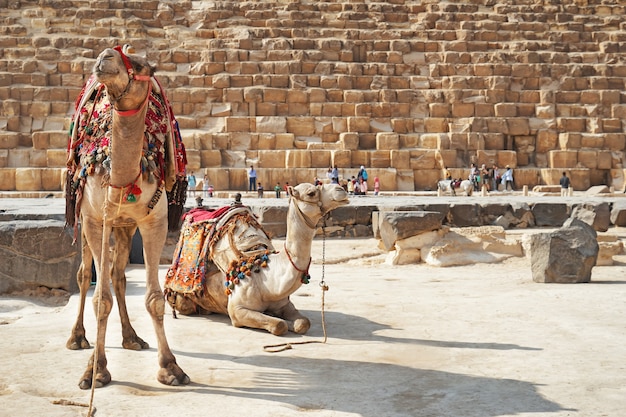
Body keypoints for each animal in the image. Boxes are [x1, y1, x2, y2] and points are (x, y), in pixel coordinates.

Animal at [66, 47, 189, 388]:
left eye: (141, 65)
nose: (105, 57)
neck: (122, 179)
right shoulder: (95, 220)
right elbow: (100, 299)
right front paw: (94, 371)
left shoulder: (153, 222)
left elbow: (154, 299)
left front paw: (170, 367)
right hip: (83, 217)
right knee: (84, 275)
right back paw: (77, 337)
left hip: (125, 225)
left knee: (119, 275)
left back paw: (132, 337)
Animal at [163, 182, 348, 334]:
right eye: (311, 193)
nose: (341, 189)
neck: (268, 276)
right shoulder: (237, 310)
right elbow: (278, 325)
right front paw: (281, 322)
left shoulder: (284, 303)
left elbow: (303, 323)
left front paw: (289, 322)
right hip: (181, 299)